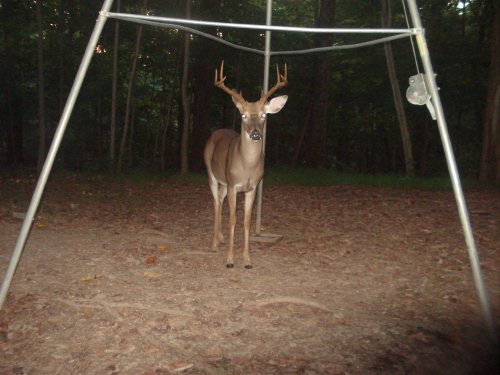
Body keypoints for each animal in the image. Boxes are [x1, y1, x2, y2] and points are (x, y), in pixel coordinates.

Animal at [204, 61, 290, 268]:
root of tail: (216, 132)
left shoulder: (252, 187)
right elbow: (233, 220)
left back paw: (220, 238)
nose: (256, 133)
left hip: (225, 182)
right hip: (212, 173)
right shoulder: (234, 184)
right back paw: (214, 244)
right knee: (215, 203)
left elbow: (247, 221)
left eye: (264, 115)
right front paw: (229, 260)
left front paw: (247, 259)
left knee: (220, 200)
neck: (247, 168)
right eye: (243, 115)